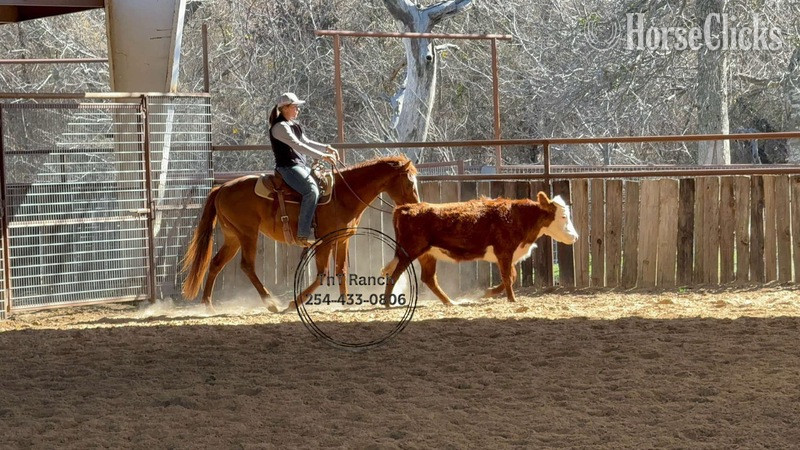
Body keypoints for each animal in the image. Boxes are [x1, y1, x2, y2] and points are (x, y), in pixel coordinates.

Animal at [181, 155, 420, 312]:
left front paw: (346, 302)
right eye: (410, 182)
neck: (343, 195)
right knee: (246, 266)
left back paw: (208, 305)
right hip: (247, 234)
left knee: (215, 263)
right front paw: (292, 303)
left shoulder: (342, 240)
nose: (416, 206)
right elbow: (322, 274)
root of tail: (222, 188)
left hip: (233, 237)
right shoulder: (324, 242)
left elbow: (341, 270)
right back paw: (271, 303)